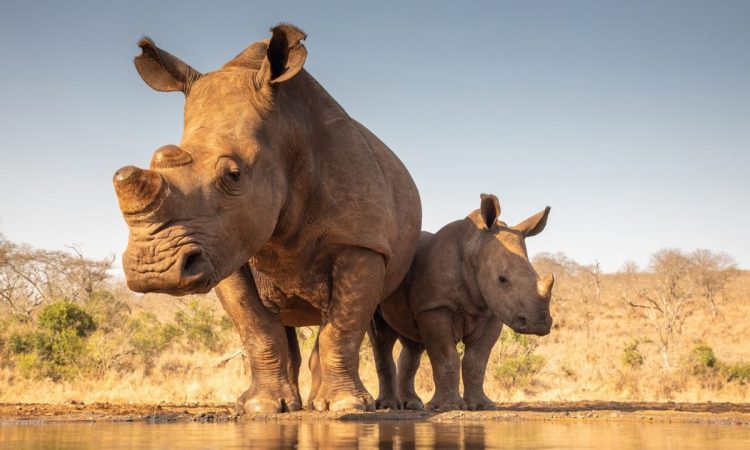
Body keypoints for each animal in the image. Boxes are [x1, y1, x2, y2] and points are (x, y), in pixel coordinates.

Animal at [112, 24, 421, 413]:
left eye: (233, 175)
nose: (154, 269)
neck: (286, 131)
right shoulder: (223, 246)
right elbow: (256, 328)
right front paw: (261, 407)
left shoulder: (361, 242)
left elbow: (343, 328)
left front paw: (346, 407)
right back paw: (298, 404)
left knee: (370, 326)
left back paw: (360, 405)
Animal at [369, 194, 553, 410]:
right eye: (502, 279)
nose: (539, 324)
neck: (474, 245)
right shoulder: (435, 307)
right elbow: (446, 356)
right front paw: (448, 407)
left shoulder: (491, 312)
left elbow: (477, 360)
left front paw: (481, 406)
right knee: (382, 337)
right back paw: (388, 406)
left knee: (412, 342)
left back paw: (412, 405)